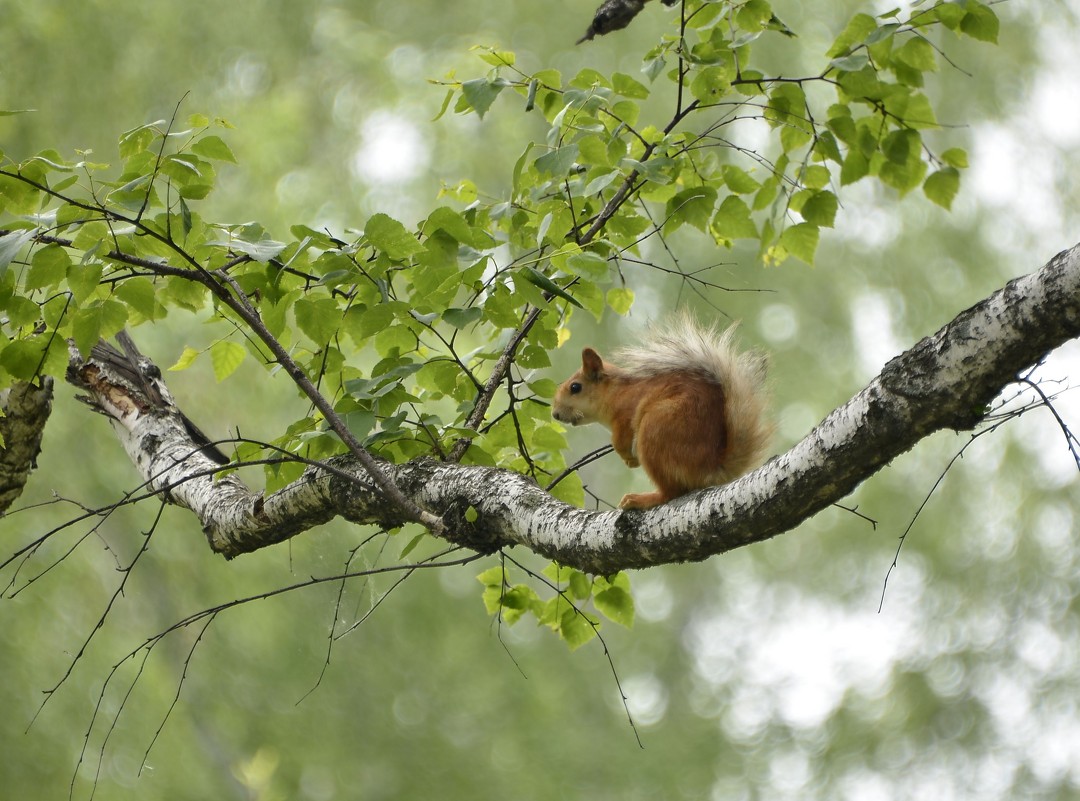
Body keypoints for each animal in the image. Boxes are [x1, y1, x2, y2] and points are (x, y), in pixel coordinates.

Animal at [552, 313, 773, 507]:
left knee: (671, 492)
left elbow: (620, 440)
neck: (616, 394)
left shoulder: (625, 415)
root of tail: (710, 469)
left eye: (575, 387)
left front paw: (627, 456)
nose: (555, 414)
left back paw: (641, 499)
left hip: (655, 430)